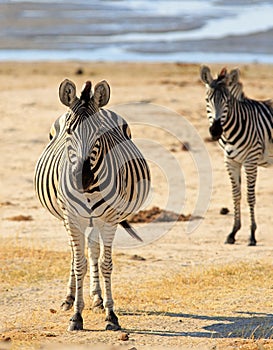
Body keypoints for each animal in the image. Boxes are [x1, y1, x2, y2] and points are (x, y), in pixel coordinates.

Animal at [34, 78, 150, 330]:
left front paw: (110, 314)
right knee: (76, 254)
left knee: (94, 252)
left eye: (98, 133)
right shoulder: (72, 218)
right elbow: (79, 264)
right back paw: (69, 298)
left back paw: (97, 297)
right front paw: (76, 316)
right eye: (69, 131)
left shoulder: (109, 220)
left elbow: (105, 263)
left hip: (95, 220)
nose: (83, 178)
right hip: (71, 219)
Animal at [199, 66, 272, 246]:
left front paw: (252, 235)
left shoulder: (250, 161)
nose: (215, 131)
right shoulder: (231, 161)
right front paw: (233, 232)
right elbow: (236, 195)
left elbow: (250, 197)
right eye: (207, 99)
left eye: (227, 102)